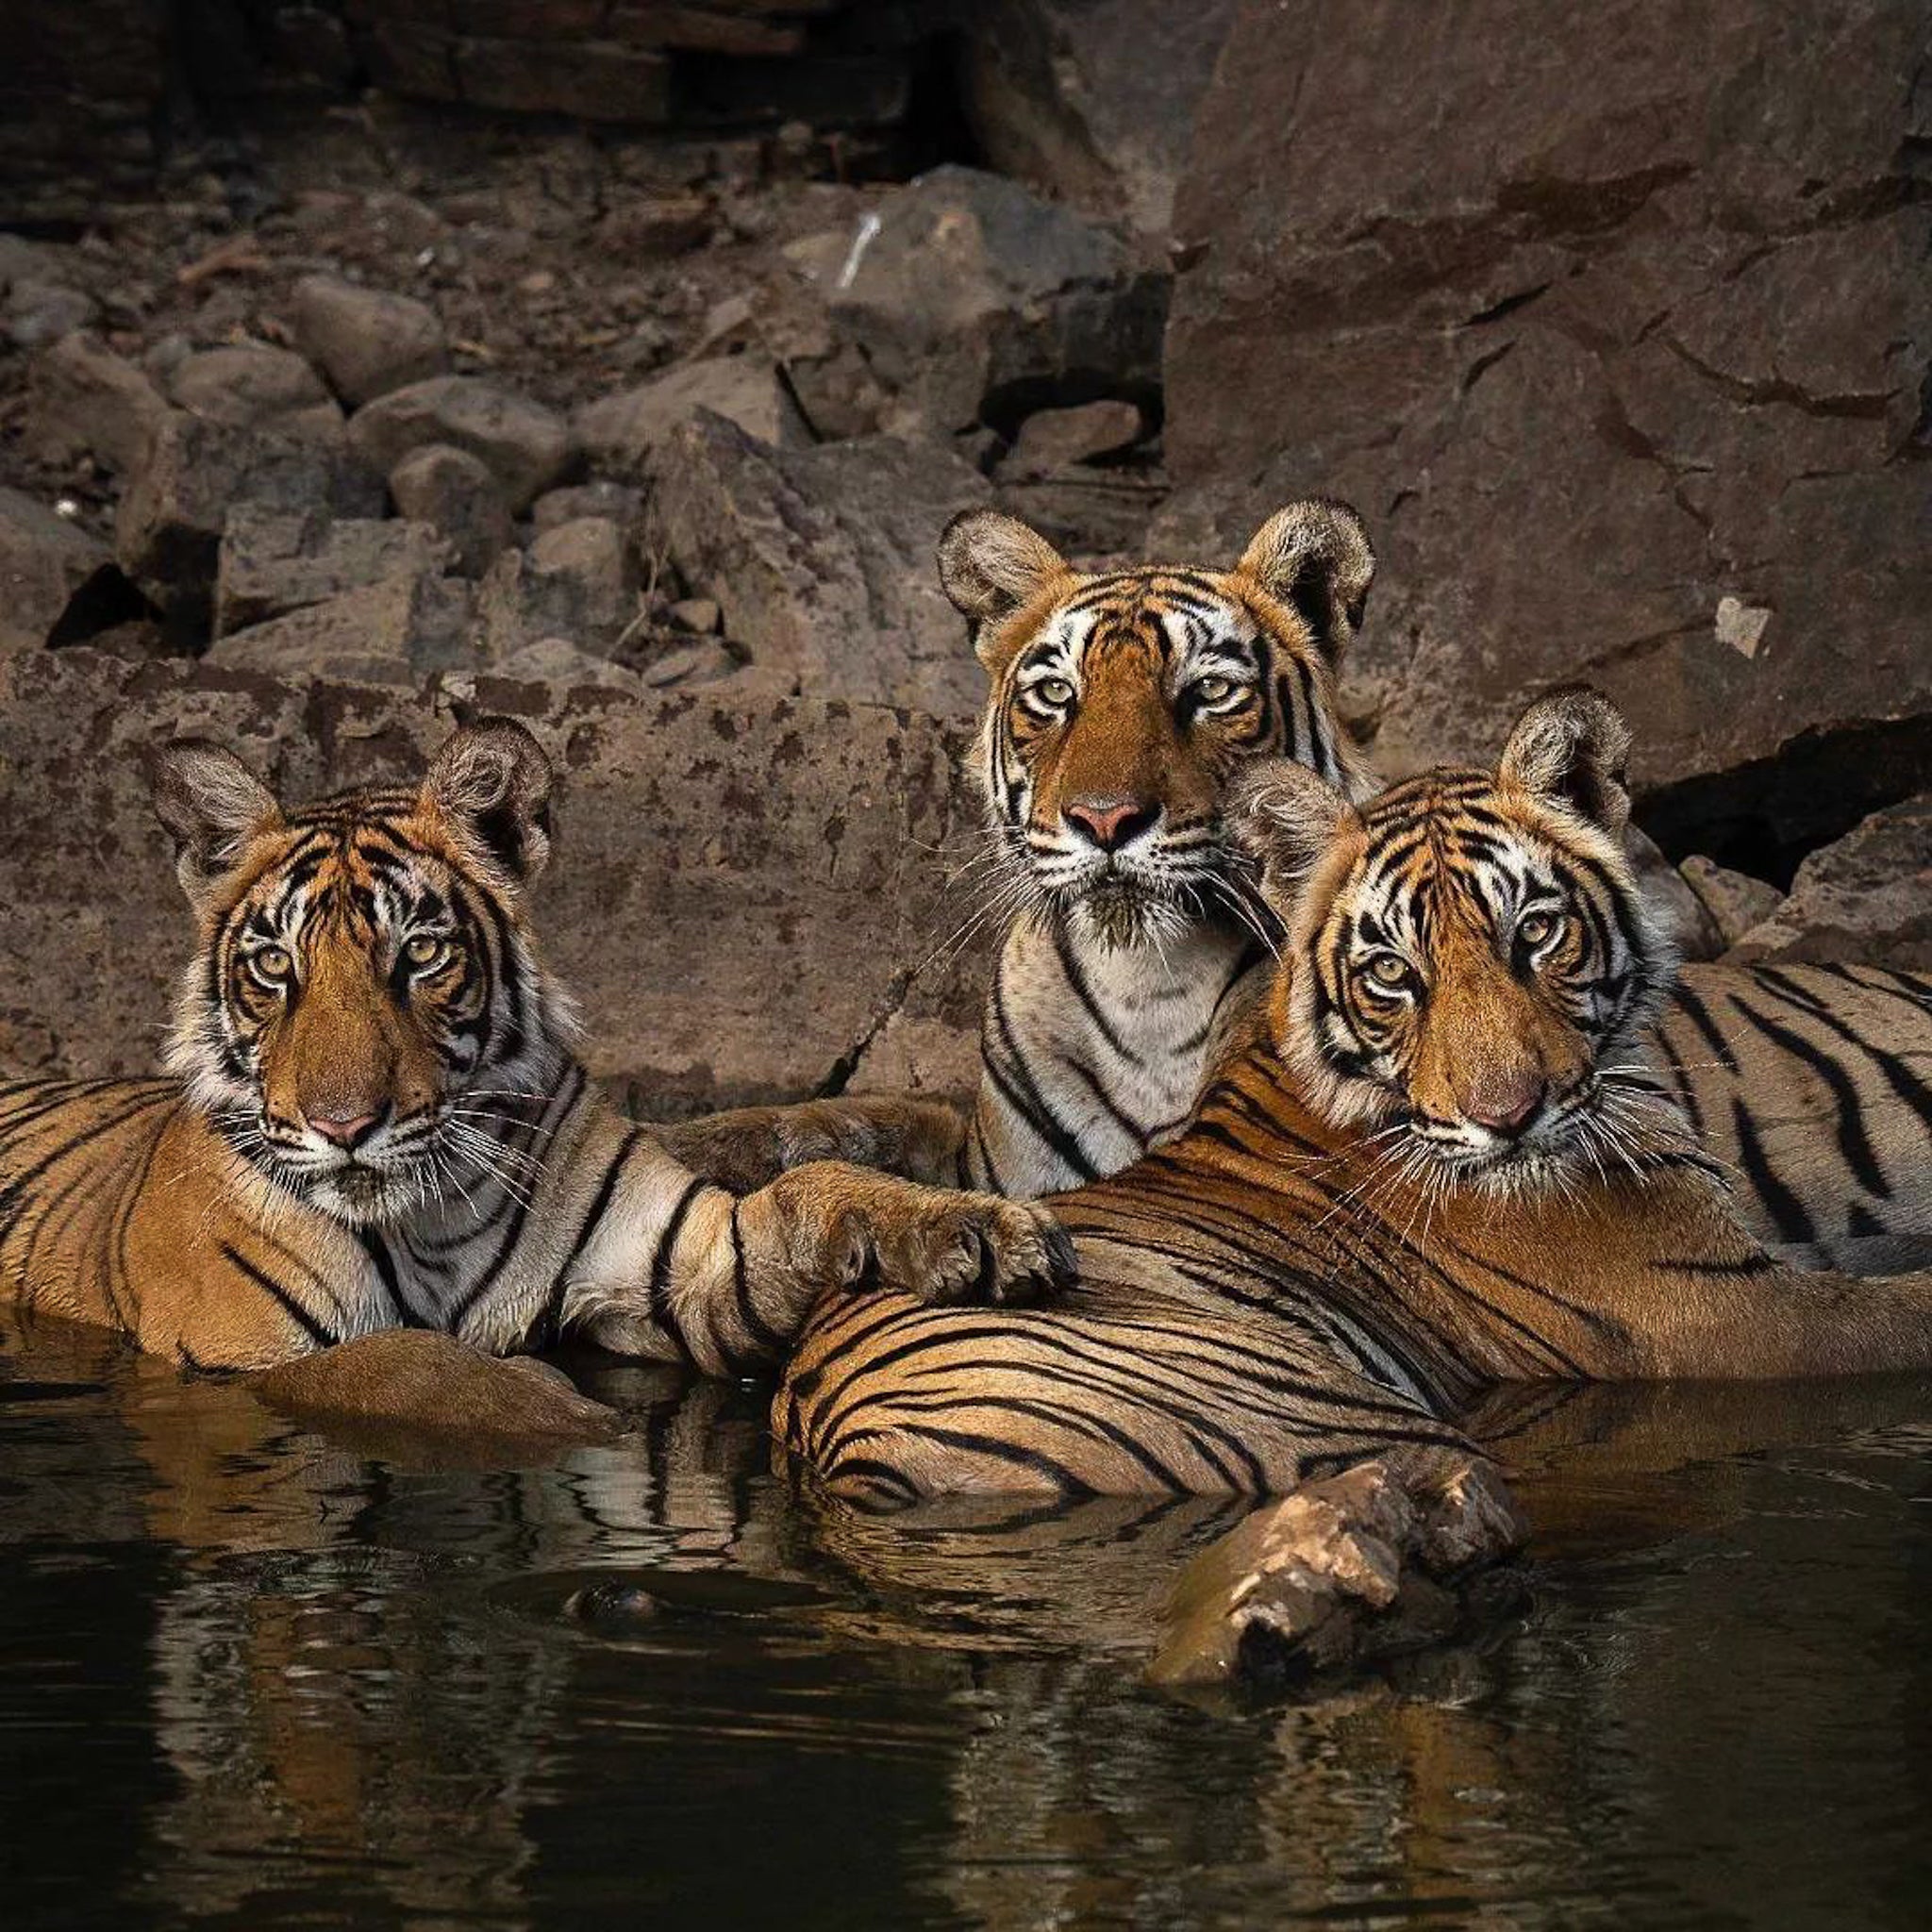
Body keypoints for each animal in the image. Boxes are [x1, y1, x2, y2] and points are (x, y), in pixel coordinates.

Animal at [0, 719, 1070, 1381]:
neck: (425, 1220)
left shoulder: (686, 1269)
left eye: (418, 952)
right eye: (273, 965)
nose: (343, 1127)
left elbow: (815, 1186)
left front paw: (981, 1231)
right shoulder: (247, 1353)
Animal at [774, 690, 1932, 1651]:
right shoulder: (1733, 1312)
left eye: (1536, 932)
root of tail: (844, 1446)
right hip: (1352, 1421)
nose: (1509, 1118)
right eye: (1390, 974)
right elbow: (1905, 1314)